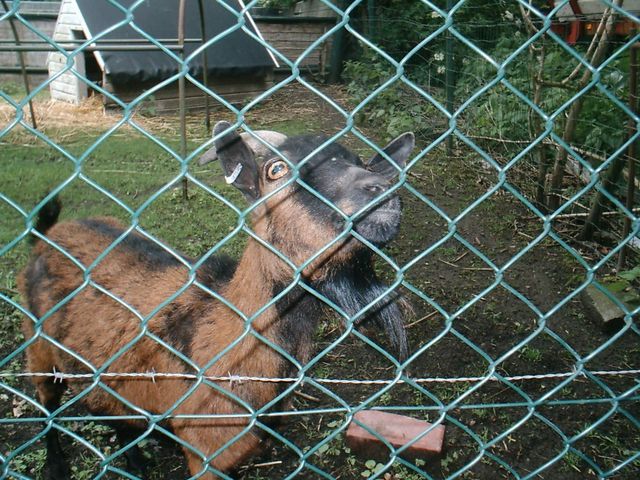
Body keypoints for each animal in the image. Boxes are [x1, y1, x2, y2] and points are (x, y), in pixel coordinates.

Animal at [18, 121, 416, 480]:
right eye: (275, 169)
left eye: (362, 162)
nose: (379, 189)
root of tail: (49, 234)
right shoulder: (205, 449)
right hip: (37, 347)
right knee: (46, 404)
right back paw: (56, 465)